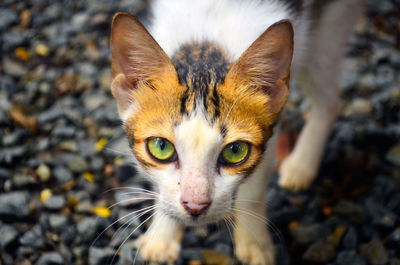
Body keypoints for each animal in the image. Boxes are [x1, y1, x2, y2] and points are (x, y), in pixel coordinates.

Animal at [109, 1, 366, 262]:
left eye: (235, 151)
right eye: (161, 147)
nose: (195, 206)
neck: (207, 42)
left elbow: (254, 187)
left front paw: (254, 242)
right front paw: (163, 236)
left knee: (329, 98)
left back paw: (301, 165)